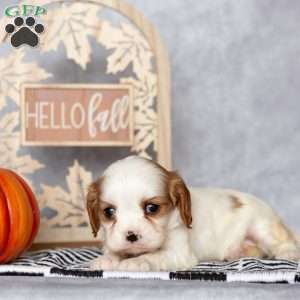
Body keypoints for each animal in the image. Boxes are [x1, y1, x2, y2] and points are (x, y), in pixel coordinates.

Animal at [85, 157, 298, 272]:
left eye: (152, 208)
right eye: (109, 212)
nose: (131, 236)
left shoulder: (178, 253)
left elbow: (154, 255)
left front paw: (136, 262)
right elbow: (114, 251)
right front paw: (106, 259)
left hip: (262, 226)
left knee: (282, 241)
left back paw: (288, 253)